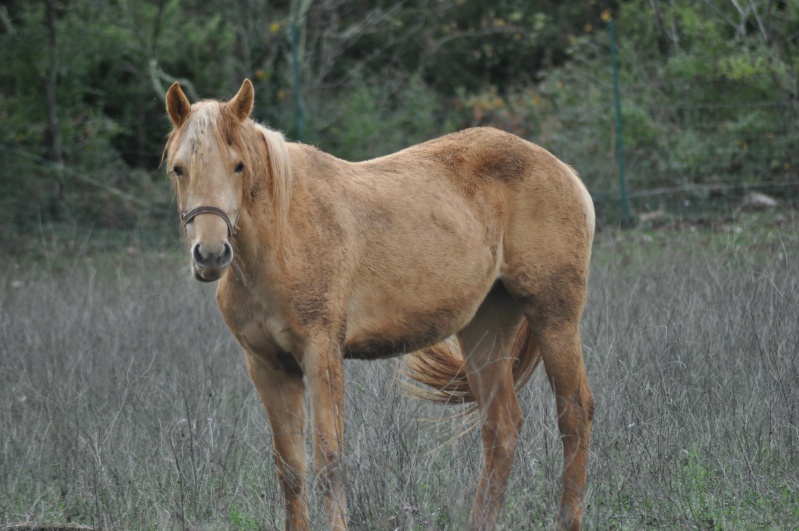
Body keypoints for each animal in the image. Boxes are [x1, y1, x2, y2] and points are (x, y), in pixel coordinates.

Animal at [166, 80, 596, 531]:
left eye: (238, 166)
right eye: (179, 169)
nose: (211, 254)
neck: (282, 238)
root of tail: (563, 171)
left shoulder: (322, 355)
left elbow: (329, 463)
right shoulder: (268, 367)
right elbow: (291, 472)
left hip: (555, 318)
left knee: (574, 416)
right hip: (485, 329)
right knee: (501, 428)